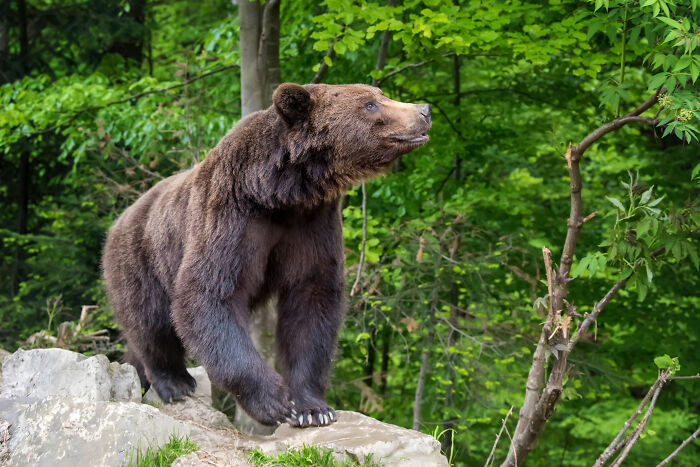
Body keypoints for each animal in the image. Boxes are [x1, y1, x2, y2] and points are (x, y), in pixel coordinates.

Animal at [102, 83, 431, 427]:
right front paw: (274, 402)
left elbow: (311, 302)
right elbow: (207, 295)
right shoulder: (230, 214)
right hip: (141, 257)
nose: (424, 110)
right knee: (151, 321)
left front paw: (313, 408)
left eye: (379, 94)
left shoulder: (312, 224)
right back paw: (174, 382)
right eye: (370, 104)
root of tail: (120, 219)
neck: (281, 193)